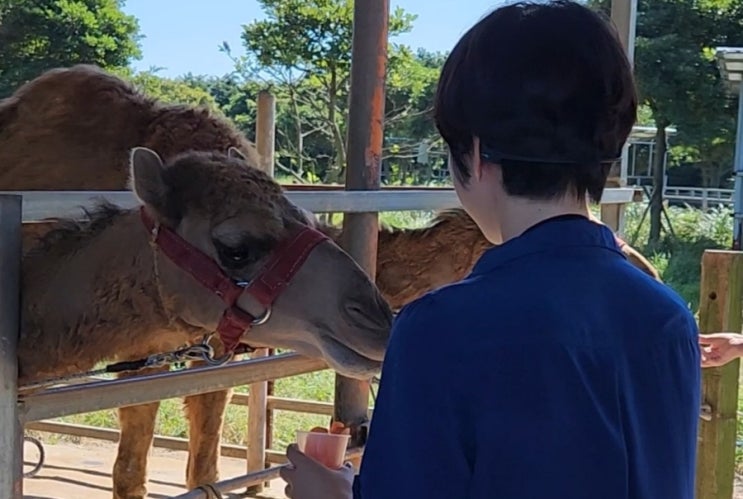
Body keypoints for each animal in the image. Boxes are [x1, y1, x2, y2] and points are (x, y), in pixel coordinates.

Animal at [2, 64, 660, 498]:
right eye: (236, 247)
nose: (649, 273)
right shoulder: (145, 356)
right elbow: (134, 474)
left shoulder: (206, 354)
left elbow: (202, 471)